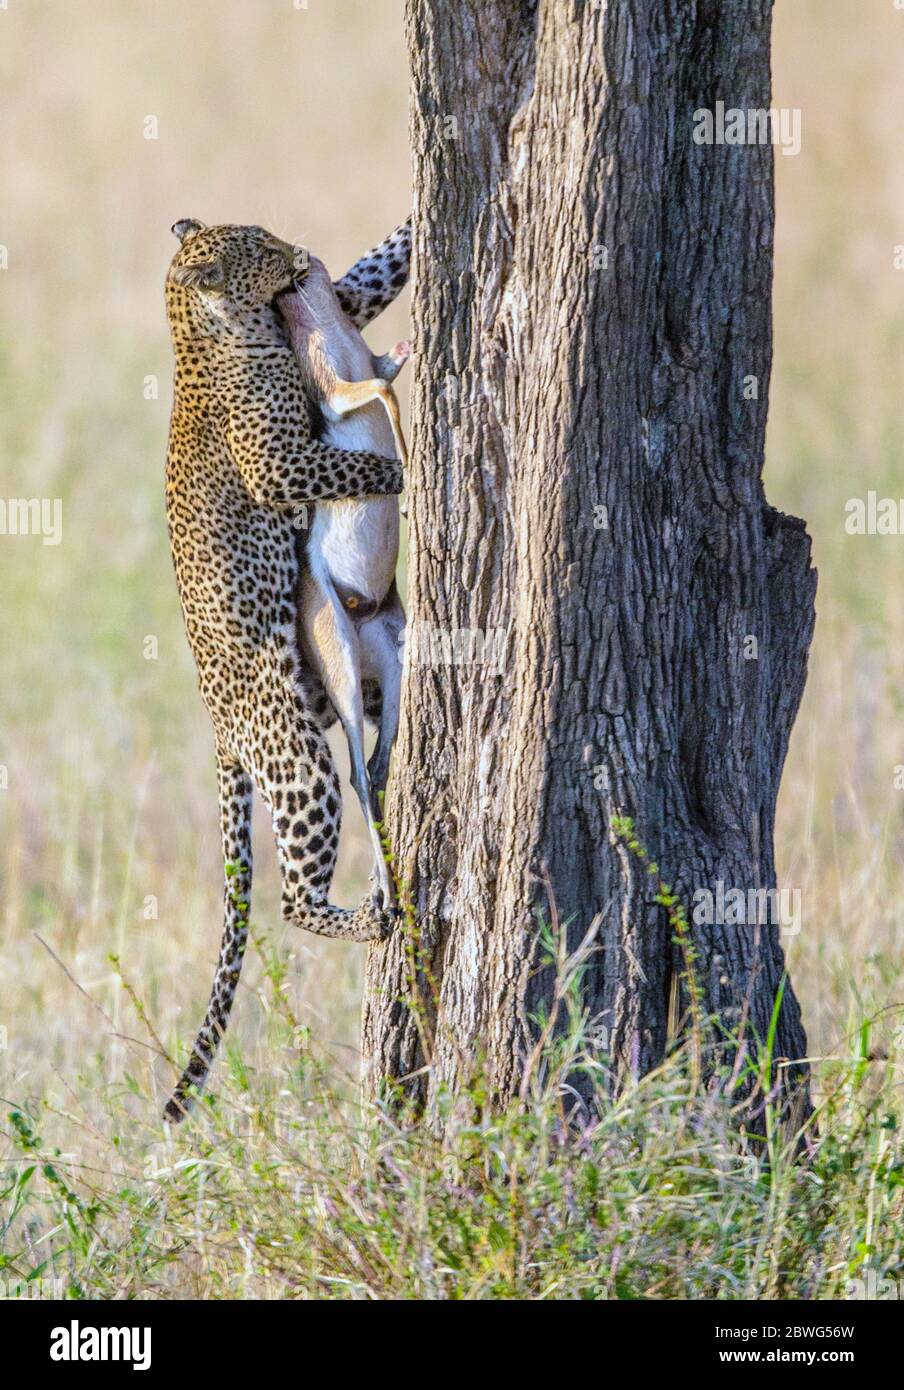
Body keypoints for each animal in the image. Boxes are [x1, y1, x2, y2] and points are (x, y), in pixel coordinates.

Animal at [163, 219, 408, 1128]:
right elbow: (347, 464)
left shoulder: (348, 299)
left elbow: (380, 269)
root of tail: (220, 729)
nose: (299, 253)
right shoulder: (277, 463)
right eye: (260, 248)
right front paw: (396, 470)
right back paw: (370, 919)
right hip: (296, 758)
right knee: (295, 895)